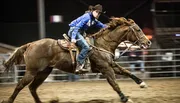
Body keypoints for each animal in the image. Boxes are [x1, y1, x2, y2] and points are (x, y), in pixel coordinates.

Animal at [1, 17, 150, 102]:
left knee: (32, 88)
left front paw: (142, 83)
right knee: (20, 85)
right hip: (31, 71)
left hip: (44, 72)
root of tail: (30, 44)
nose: (148, 43)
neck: (102, 44)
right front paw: (125, 98)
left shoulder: (111, 65)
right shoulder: (105, 68)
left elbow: (127, 72)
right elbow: (114, 84)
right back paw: (8, 101)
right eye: (138, 29)